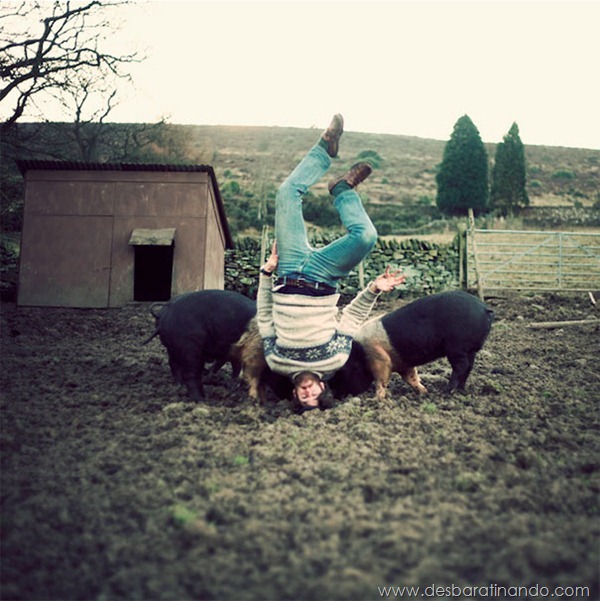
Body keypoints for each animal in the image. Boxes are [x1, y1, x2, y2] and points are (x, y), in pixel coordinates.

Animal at [328, 290, 492, 398]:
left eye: (342, 373)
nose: (335, 396)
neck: (360, 354)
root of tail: (484, 308)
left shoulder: (379, 359)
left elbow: (381, 379)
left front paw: (378, 399)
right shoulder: (403, 363)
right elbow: (411, 377)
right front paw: (424, 392)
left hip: (457, 347)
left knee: (461, 366)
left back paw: (447, 391)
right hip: (470, 350)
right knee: (469, 367)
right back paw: (461, 390)